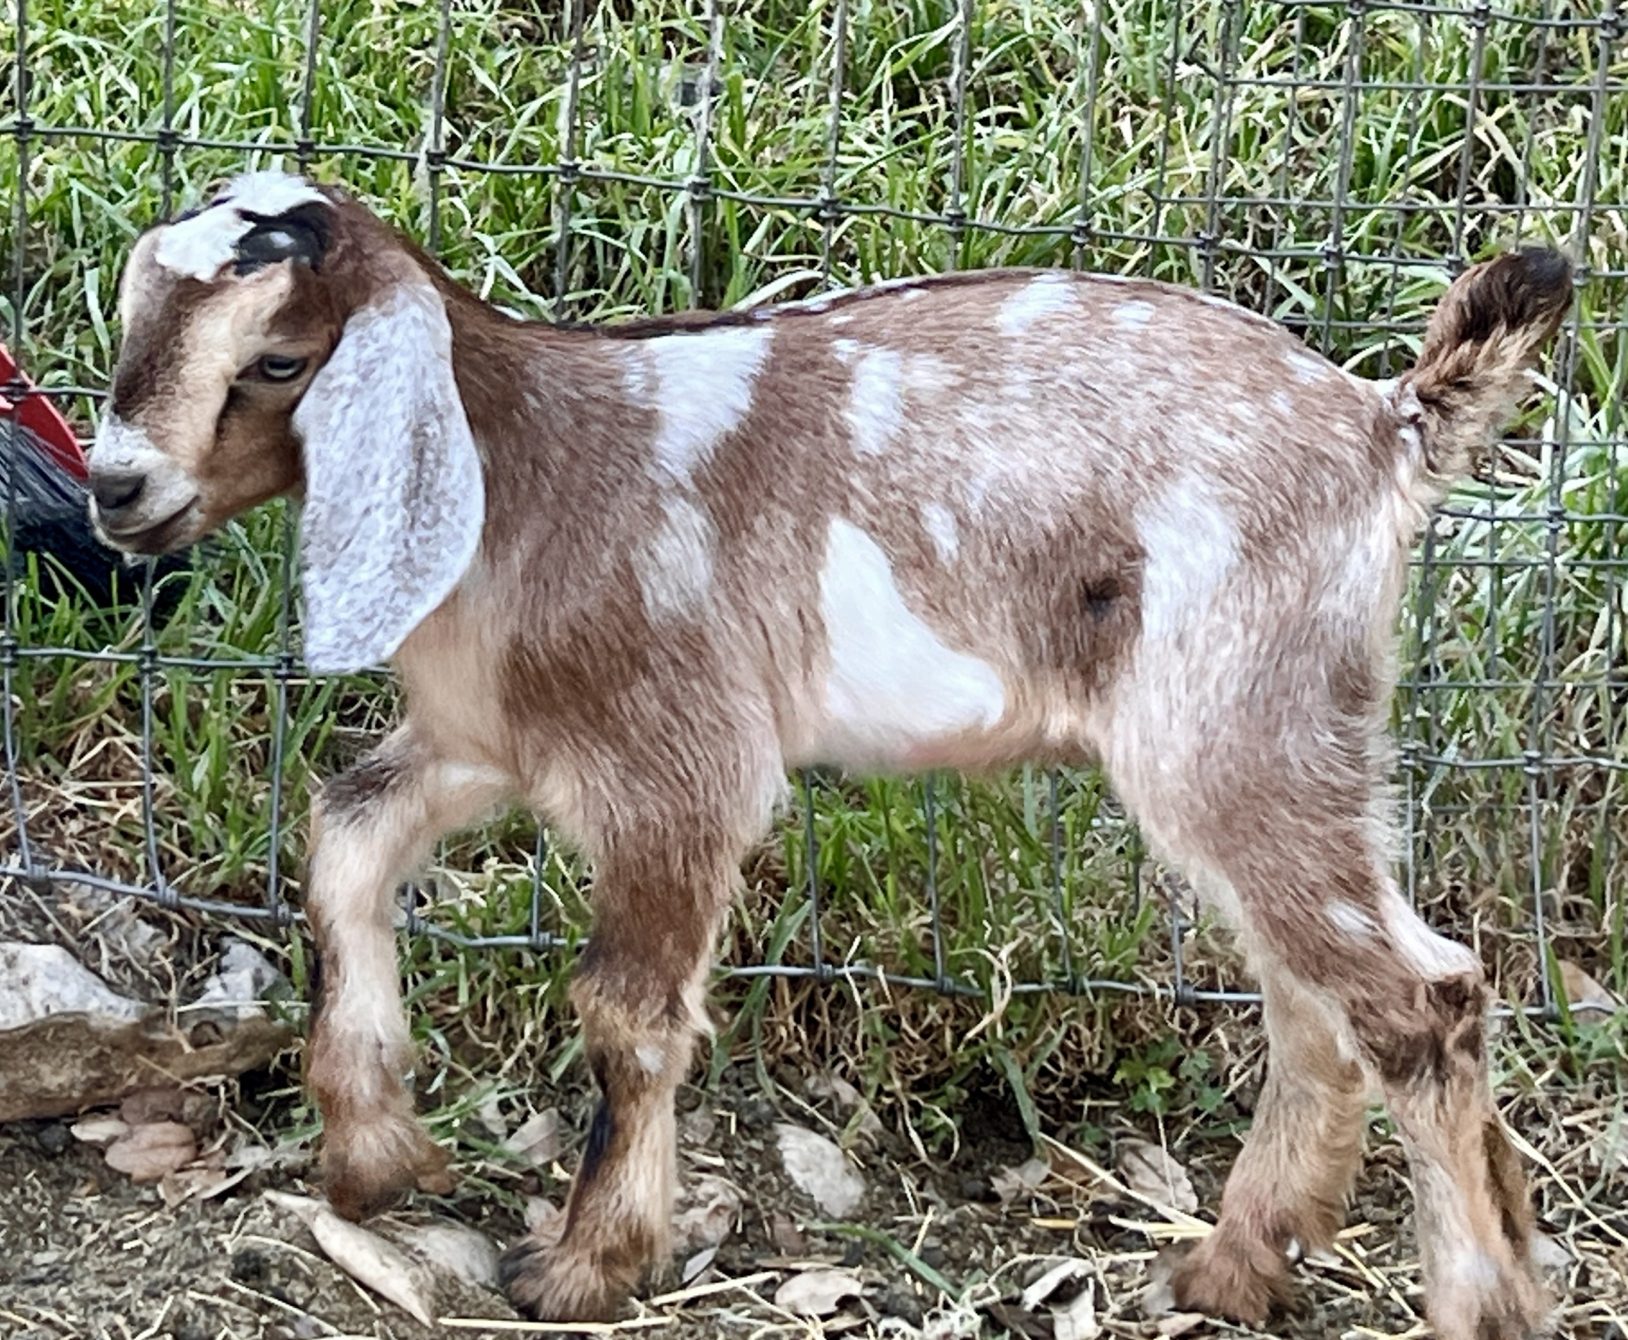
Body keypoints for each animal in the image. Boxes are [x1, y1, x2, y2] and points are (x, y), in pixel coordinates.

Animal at [95, 172, 1569, 1335]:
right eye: (136, 323)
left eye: (279, 361)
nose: (117, 489)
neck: (521, 471)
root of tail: (1384, 424)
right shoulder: (486, 741)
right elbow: (343, 835)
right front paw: (375, 1154)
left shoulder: (676, 761)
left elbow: (623, 1010)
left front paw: (585, 1265)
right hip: (1294, 739)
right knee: (1313, 995)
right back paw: (1235, 1266)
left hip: (1236, 722)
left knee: (1417, 997)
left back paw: (1475, 1301)